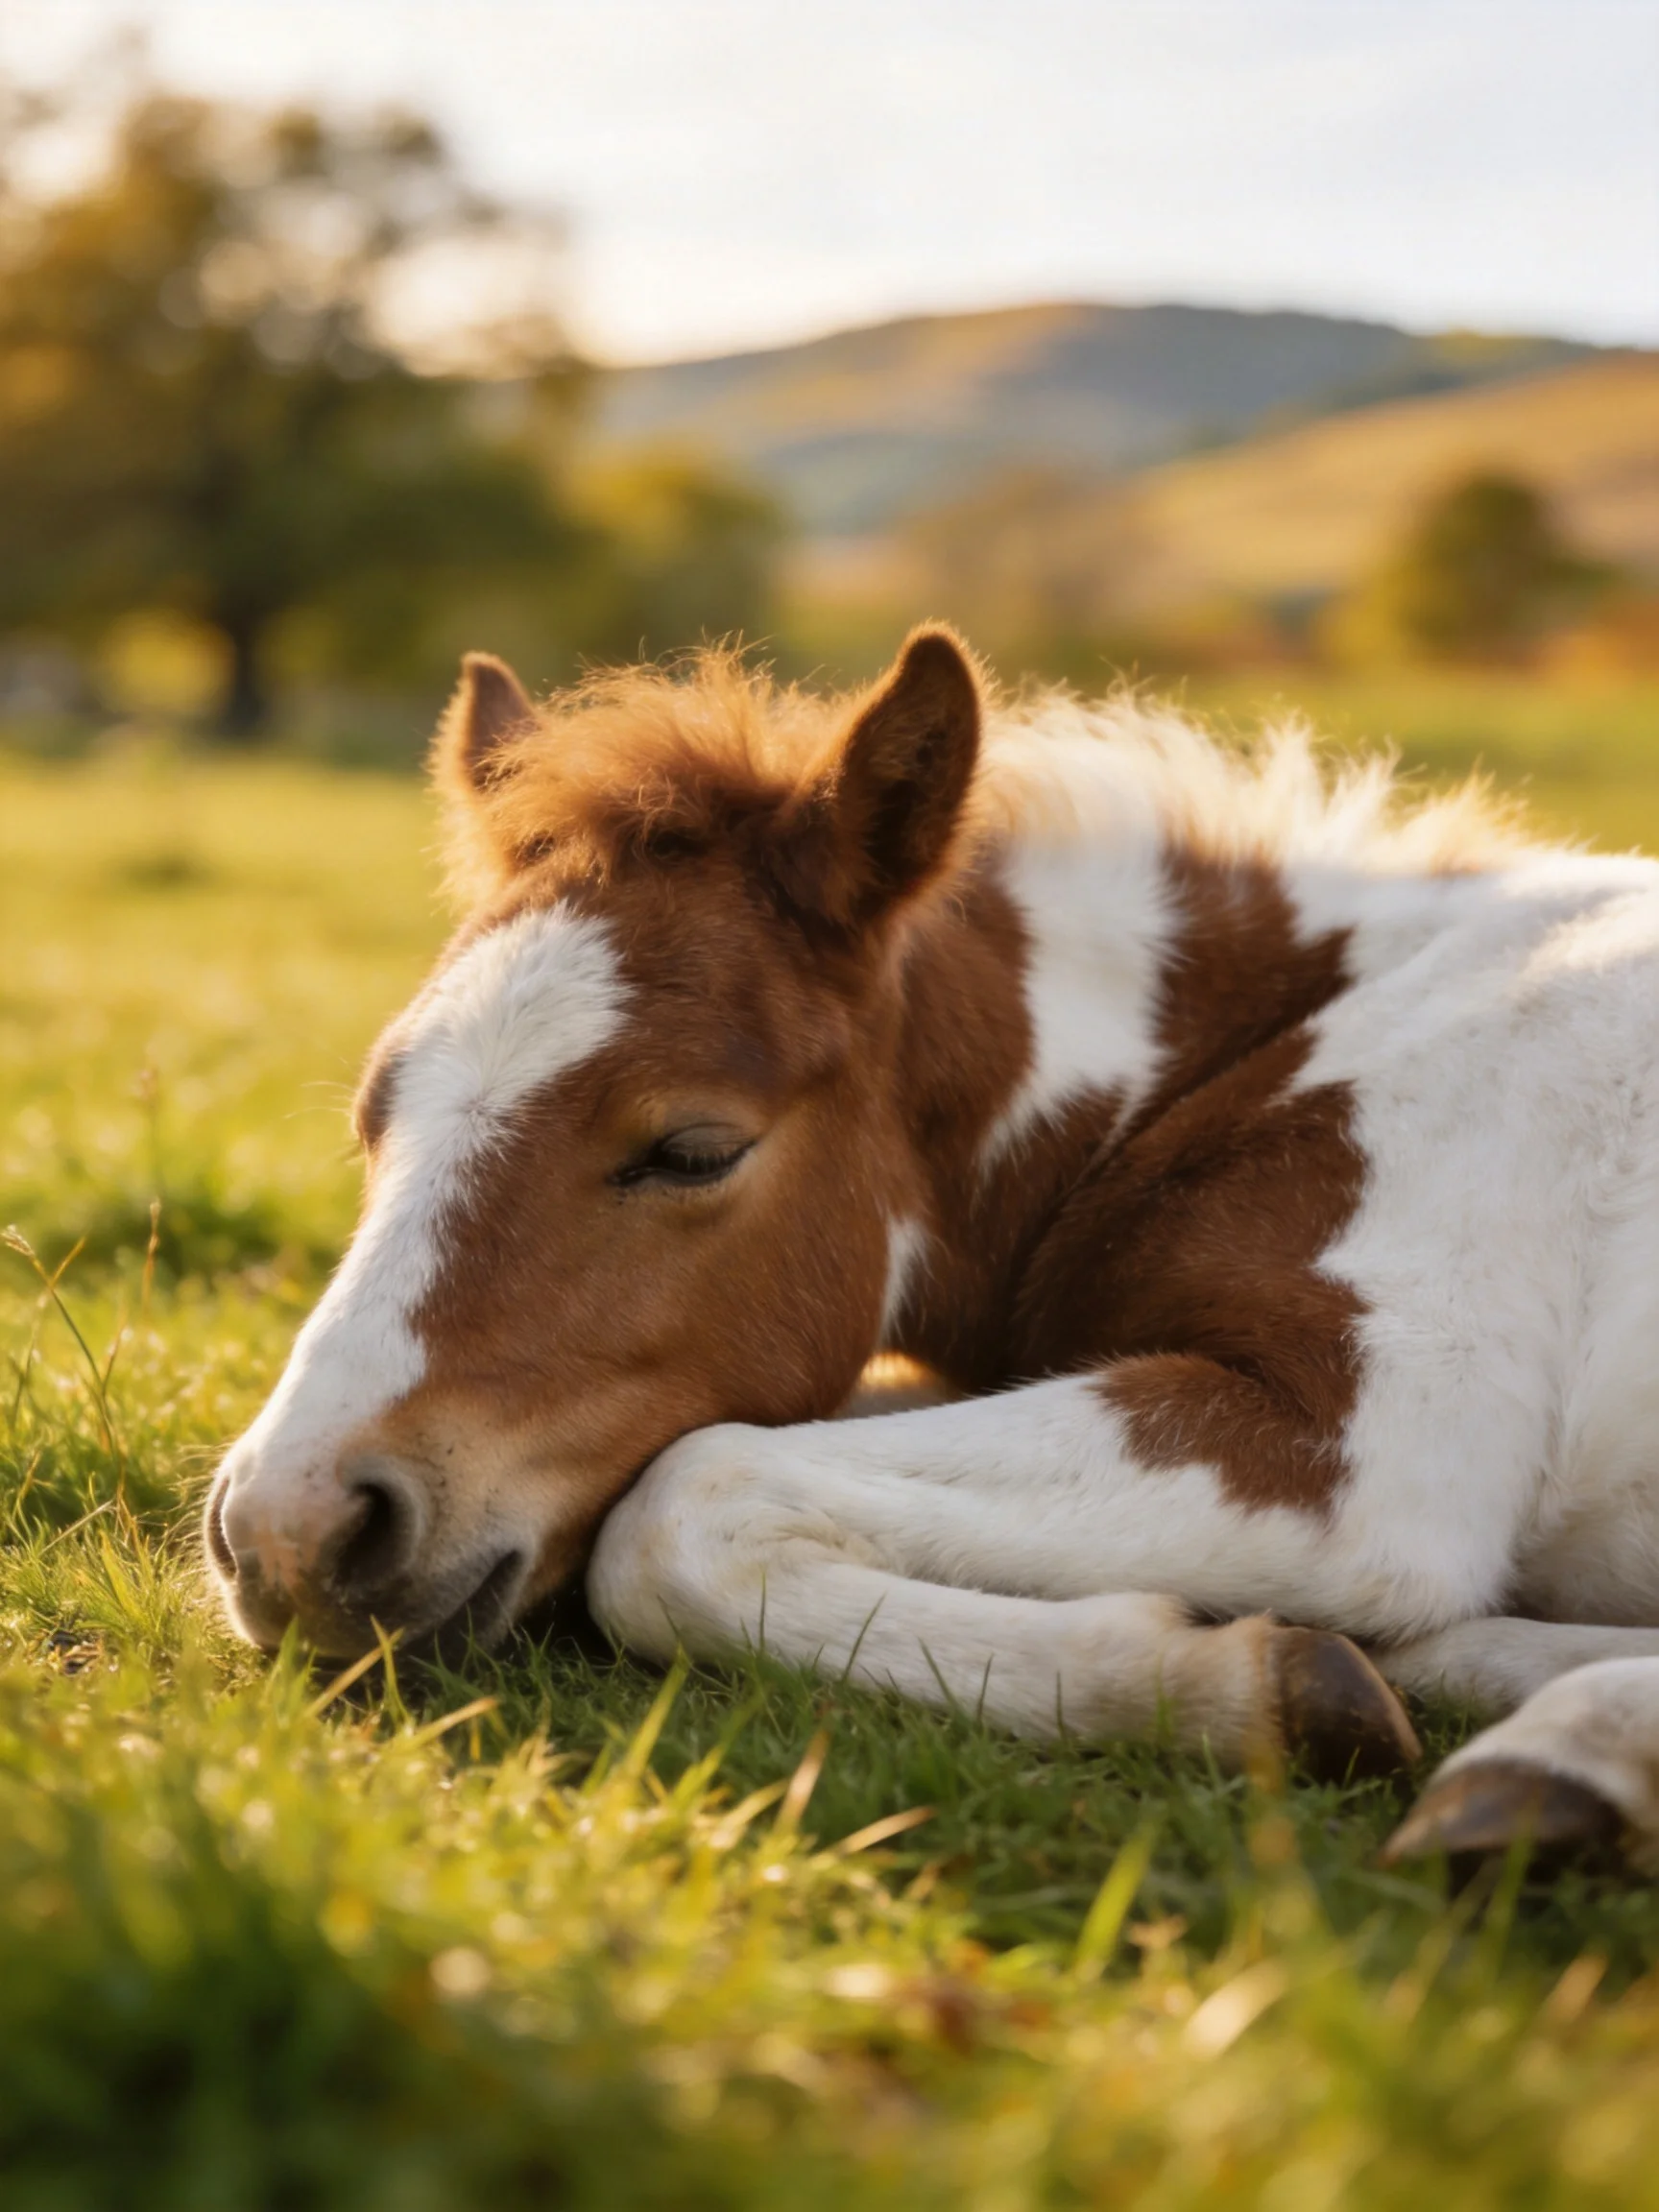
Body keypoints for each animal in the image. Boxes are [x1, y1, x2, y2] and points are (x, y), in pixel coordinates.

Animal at [206, 628, 1659, 1865]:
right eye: (375, 1118)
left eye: (694, 1149)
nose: (290, 1531)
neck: (1285, 1045)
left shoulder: (1360, 1456)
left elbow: (678, 1506)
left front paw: (1251, 1684)